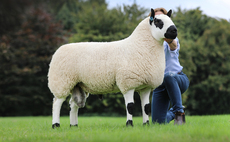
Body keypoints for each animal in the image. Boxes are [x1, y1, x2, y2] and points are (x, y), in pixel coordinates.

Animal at [48, 8, 178, 129]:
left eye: (170, 19)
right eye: (157, 21)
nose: (174, 30)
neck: (139, 46)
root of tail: (59, 50)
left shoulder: (145, 87)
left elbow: (146, 108)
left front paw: (146, 124)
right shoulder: (128, 83)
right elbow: (130, 106)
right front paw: (129, 124)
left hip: (78, 84)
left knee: (73, 104)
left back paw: (74, 125)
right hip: (61, 82)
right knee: (57, 103)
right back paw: (56, 125)